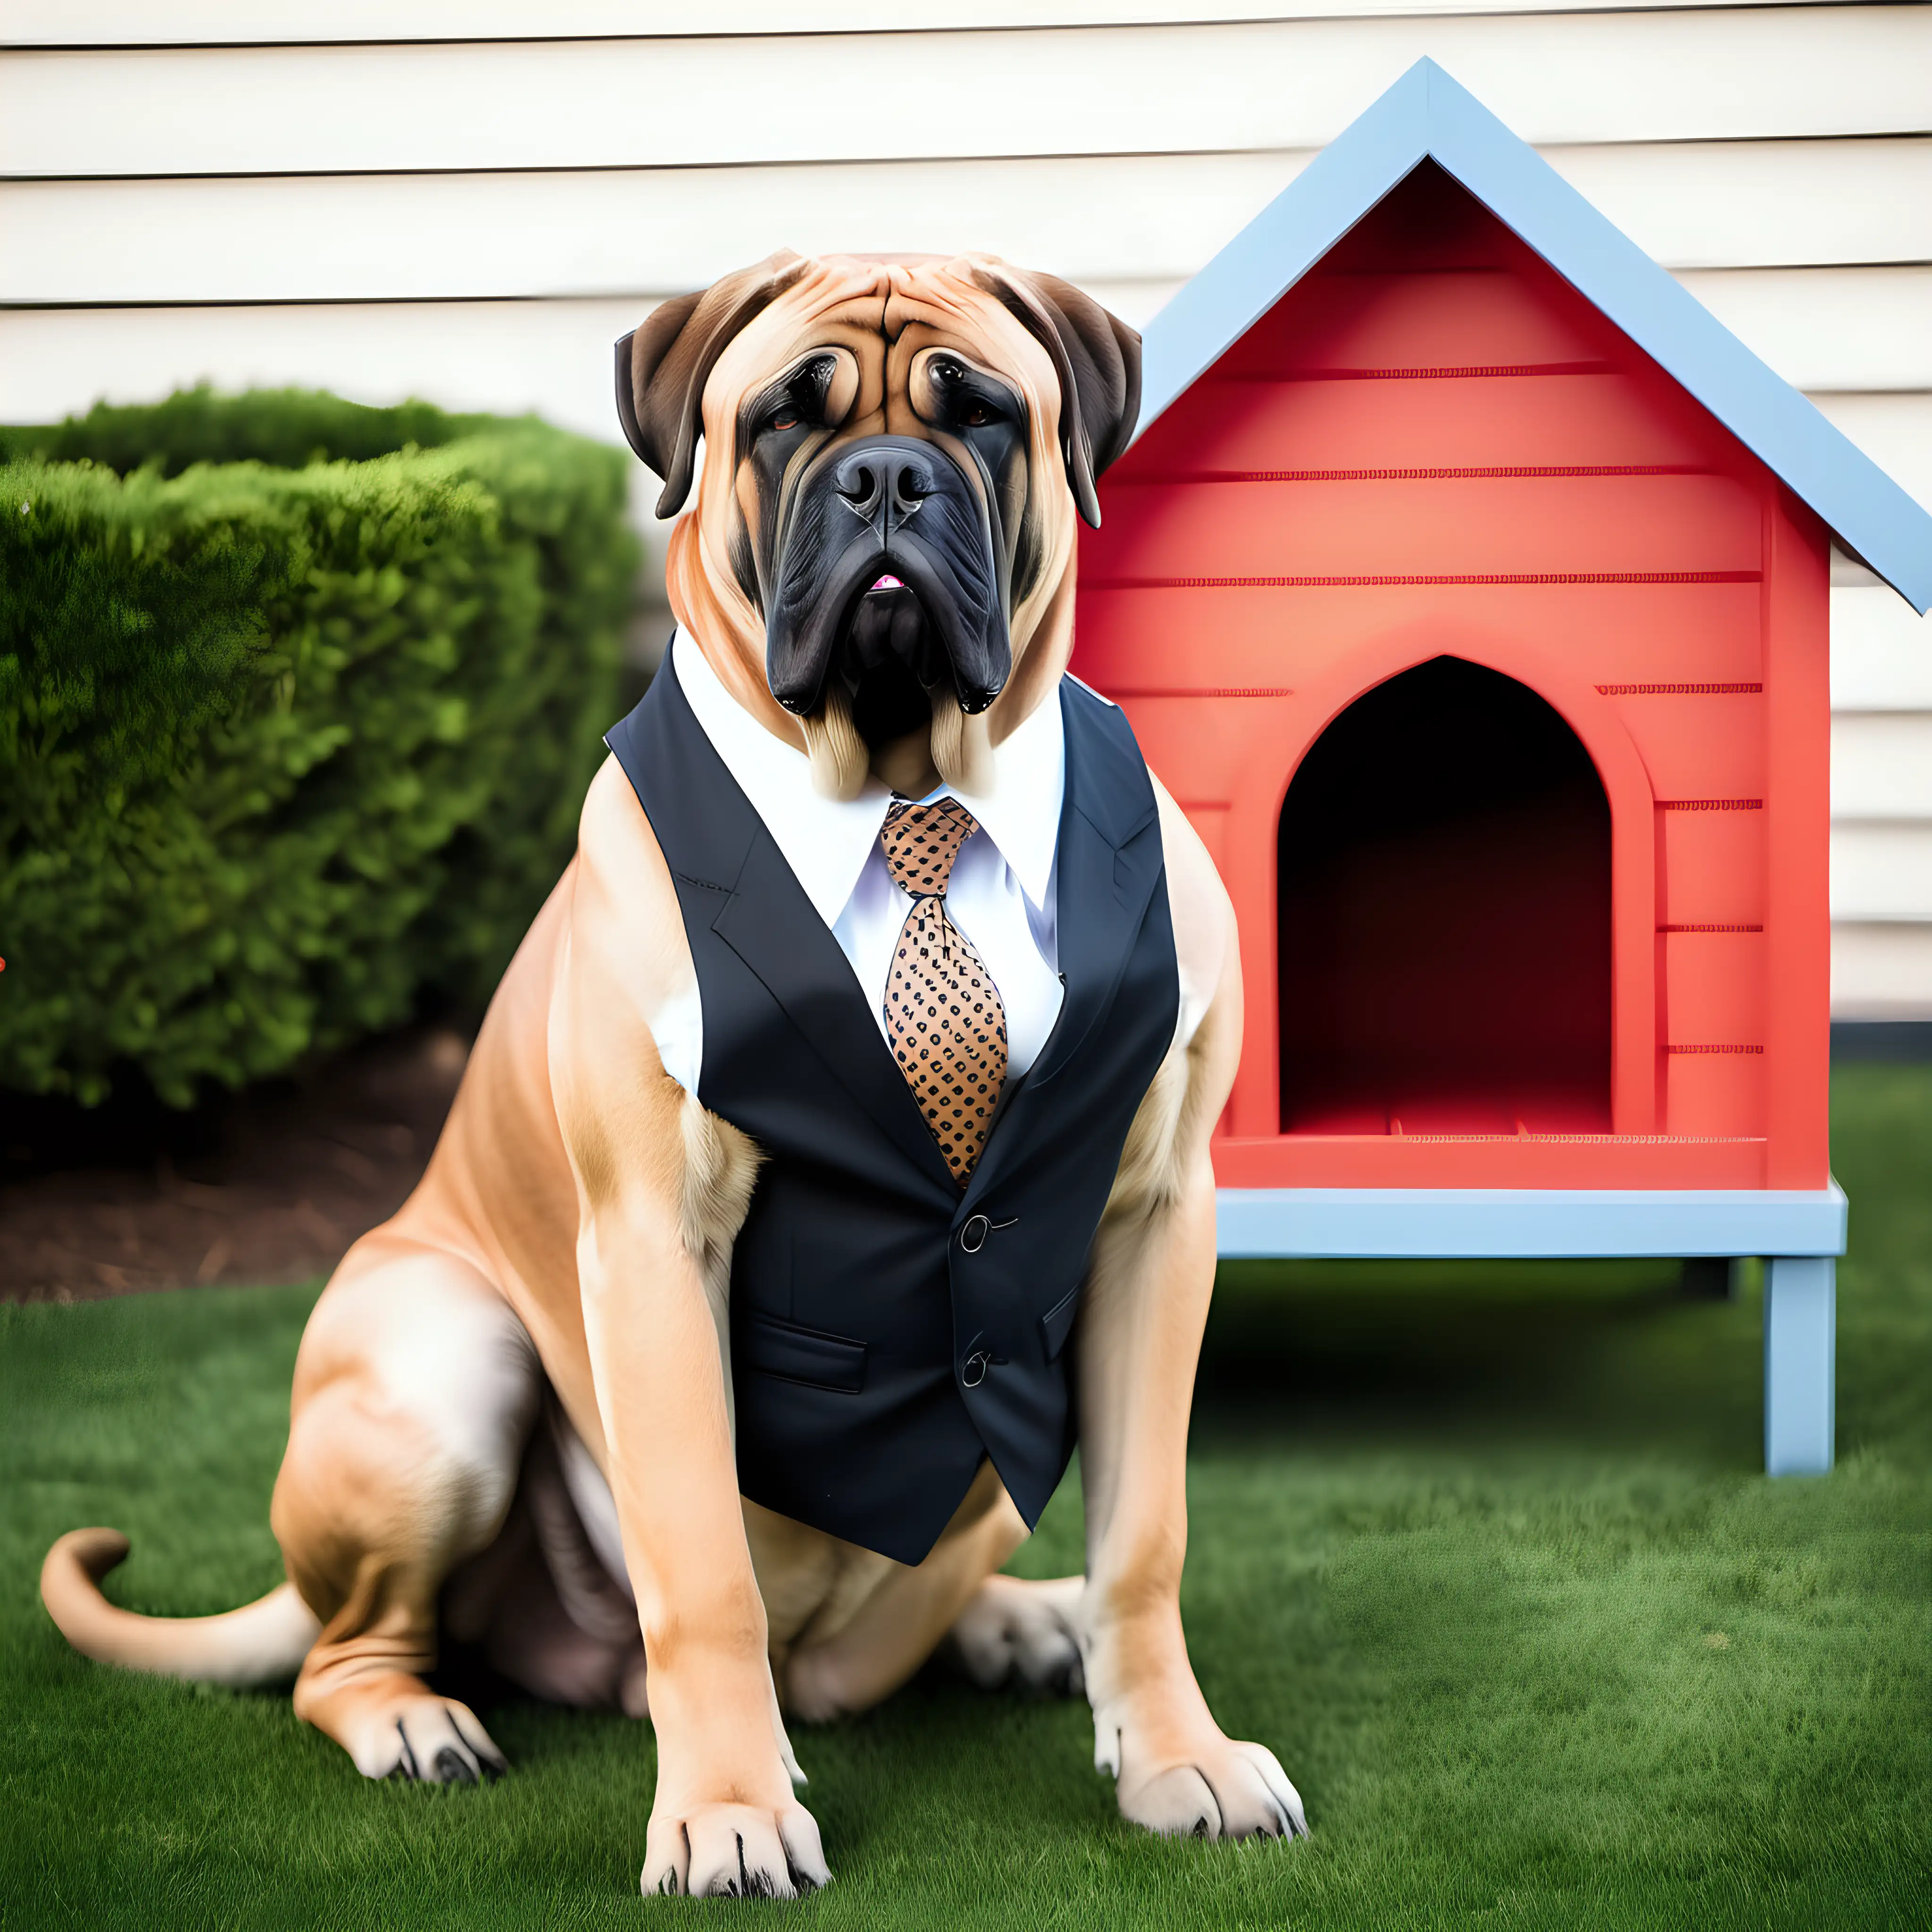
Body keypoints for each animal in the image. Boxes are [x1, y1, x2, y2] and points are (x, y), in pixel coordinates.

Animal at [45, 249, 1306, 1893]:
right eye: (785, 419)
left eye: (979, 414)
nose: (886, 477)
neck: (905, 781)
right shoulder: (654, 1242)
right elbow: (701, 1563)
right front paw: (725, 1809)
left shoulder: (1155, 1218)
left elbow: (1144, 1539)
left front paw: (1175, 1755)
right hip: (447, 1360)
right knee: (352, 1651)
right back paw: (416, 1718)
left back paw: (1019, 1622)